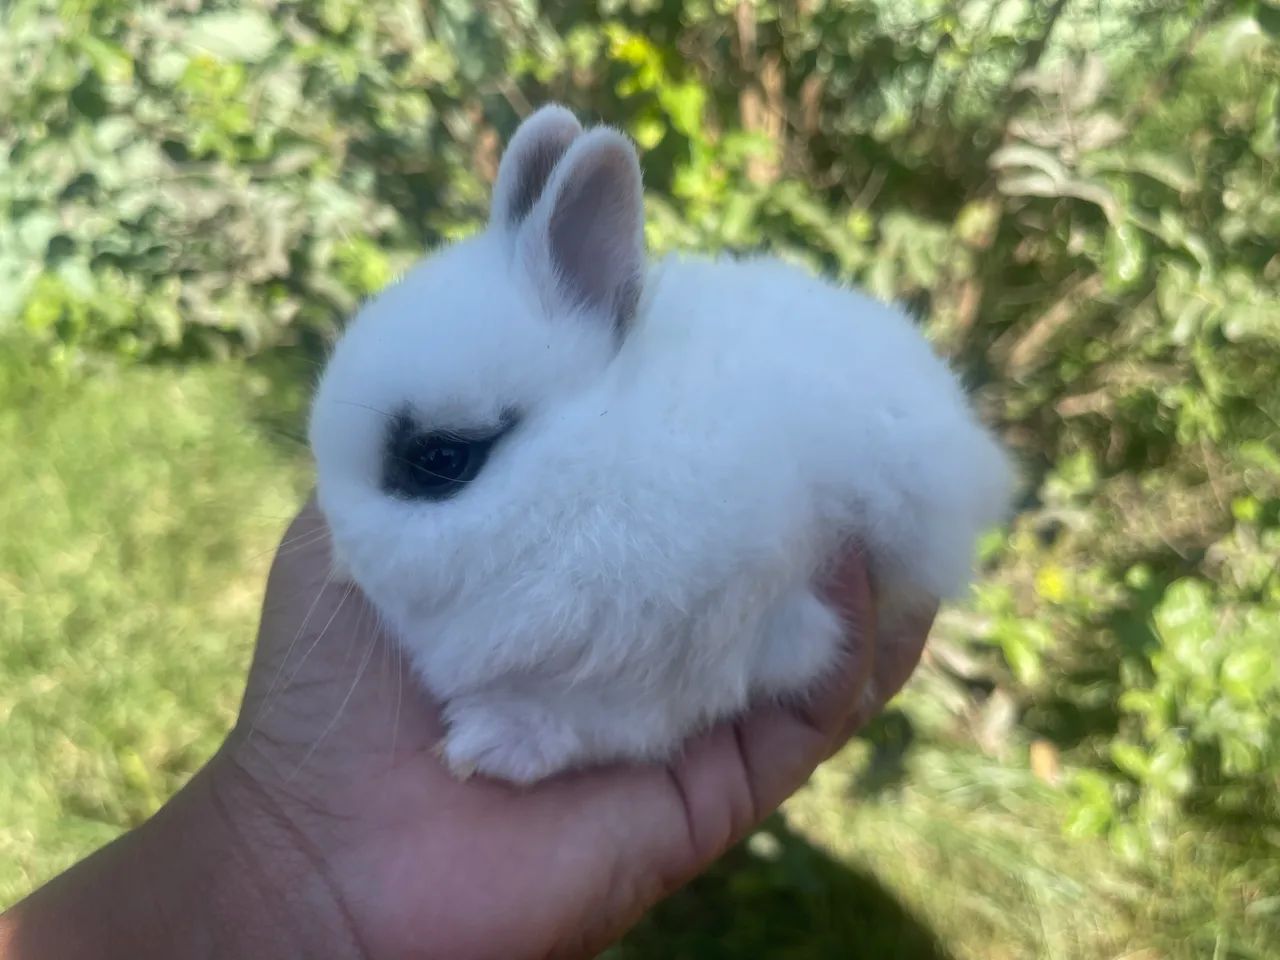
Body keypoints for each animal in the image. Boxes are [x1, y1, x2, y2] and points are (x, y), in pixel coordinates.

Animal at [308, 104, 1014, 785]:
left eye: (439, 460)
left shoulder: (720, 641)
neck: (586, 469)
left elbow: (612, 723)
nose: (340, 542)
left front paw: (493, 744)